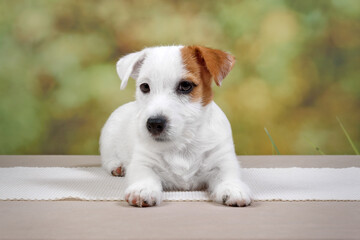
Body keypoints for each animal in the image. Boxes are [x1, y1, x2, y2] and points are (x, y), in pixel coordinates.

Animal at [98, 46, 250, 207]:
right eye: (144, 87)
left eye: (185, 85)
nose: (154, 123)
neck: (183, 142)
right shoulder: (143, 161)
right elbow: (145, 175)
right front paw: (142, 189)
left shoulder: (223, 160)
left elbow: (227, 175)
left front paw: (233, 188)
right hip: (108, 140)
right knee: (107, 158)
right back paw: (117, 166)